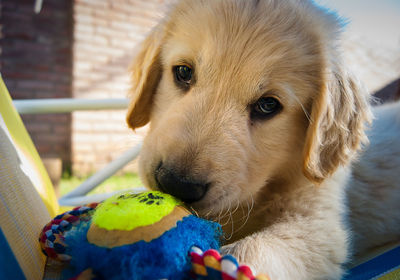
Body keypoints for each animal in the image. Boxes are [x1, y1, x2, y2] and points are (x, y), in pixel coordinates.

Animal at [126, 0, 400, 278]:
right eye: (183, 72)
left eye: (268, 105)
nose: (176, 184)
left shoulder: (317, 225)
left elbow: (253, 250)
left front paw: (224, 265)